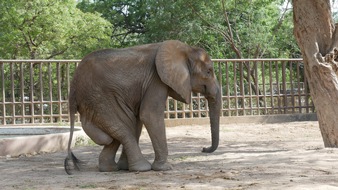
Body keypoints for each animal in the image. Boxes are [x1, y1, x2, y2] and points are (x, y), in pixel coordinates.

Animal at [64, 40, 222, 175]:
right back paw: (141, 168)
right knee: (122, 128)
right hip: (99, 98)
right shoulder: (156, 80)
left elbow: (140, 118)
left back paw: (115, 168)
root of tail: (73, 85)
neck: (186, 49)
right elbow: (149, 115)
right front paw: (165, 168)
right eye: (209, 71)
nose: (203, 149)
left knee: (123, 128)